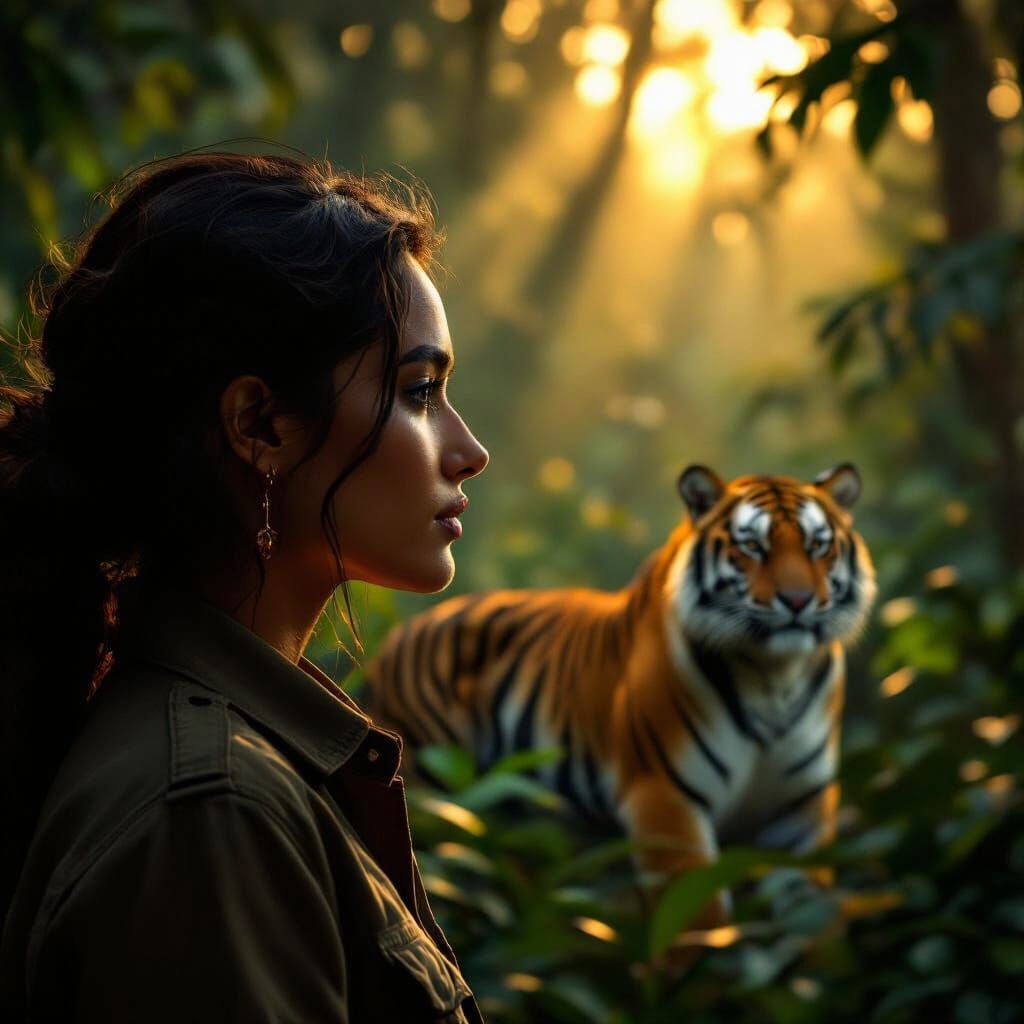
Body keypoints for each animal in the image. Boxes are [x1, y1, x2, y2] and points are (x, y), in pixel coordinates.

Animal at [364, 463, 877, 947]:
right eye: (753, 547)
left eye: (817, 546)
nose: (798, 600)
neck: (775, 676)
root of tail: (397, 636)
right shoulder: (664, 800)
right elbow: (699, 929)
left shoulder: (801, 814)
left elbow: (813, 924)